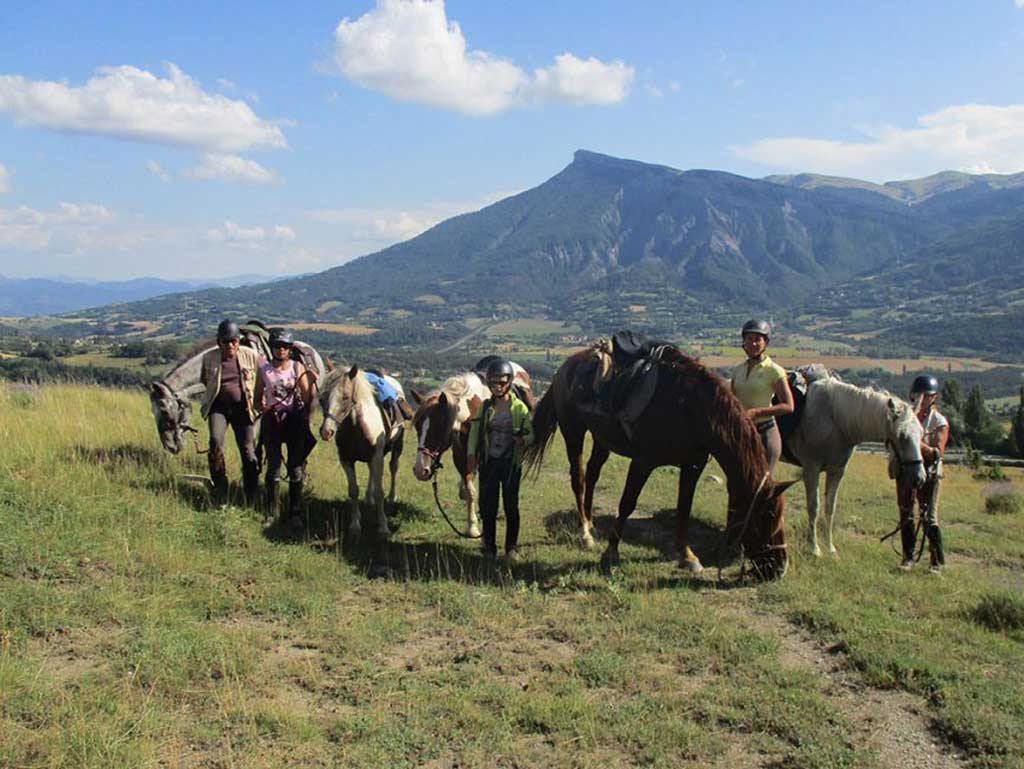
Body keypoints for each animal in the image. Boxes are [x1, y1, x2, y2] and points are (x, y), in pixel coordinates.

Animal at [317, 364, 405, 540]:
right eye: (322, 398)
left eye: (345, 397)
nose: (326, 431)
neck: (356, 426)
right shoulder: (346, 459)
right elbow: (353, 491)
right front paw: (355, 525)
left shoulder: (377, 457)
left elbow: (379, 492)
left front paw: (383, 527)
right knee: (371, 472)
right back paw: (368, 499)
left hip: (396, 447)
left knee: (393, 468)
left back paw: (392, 497)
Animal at [409, 362, 536, 536]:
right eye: (417, 426)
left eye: (438, 427)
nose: (420, 470)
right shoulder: (461, 456)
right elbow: (470, 490)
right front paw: (472, 525)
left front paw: (477, 524)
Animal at [524, 346, 794, 581]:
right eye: (768, 515)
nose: (780, 568)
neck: (688, 406)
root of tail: (565, 368)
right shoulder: (643, 462)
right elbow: (627, 504)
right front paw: (611, 554)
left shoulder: (693, 465)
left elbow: (684, 508)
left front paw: (688, 557)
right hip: (573, 431)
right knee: (578, 478)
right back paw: (584, 533)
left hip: (602, 439)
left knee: (592, 474)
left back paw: (590, 524)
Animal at [782, 376, 929, 557]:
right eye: (901, 436)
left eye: (921, 433)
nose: (920, 477)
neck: (835, 418)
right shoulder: (811, 469)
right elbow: (813, 507)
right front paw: (814, 548)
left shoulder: (837, 471)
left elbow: (830, 507)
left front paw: (830, 548)